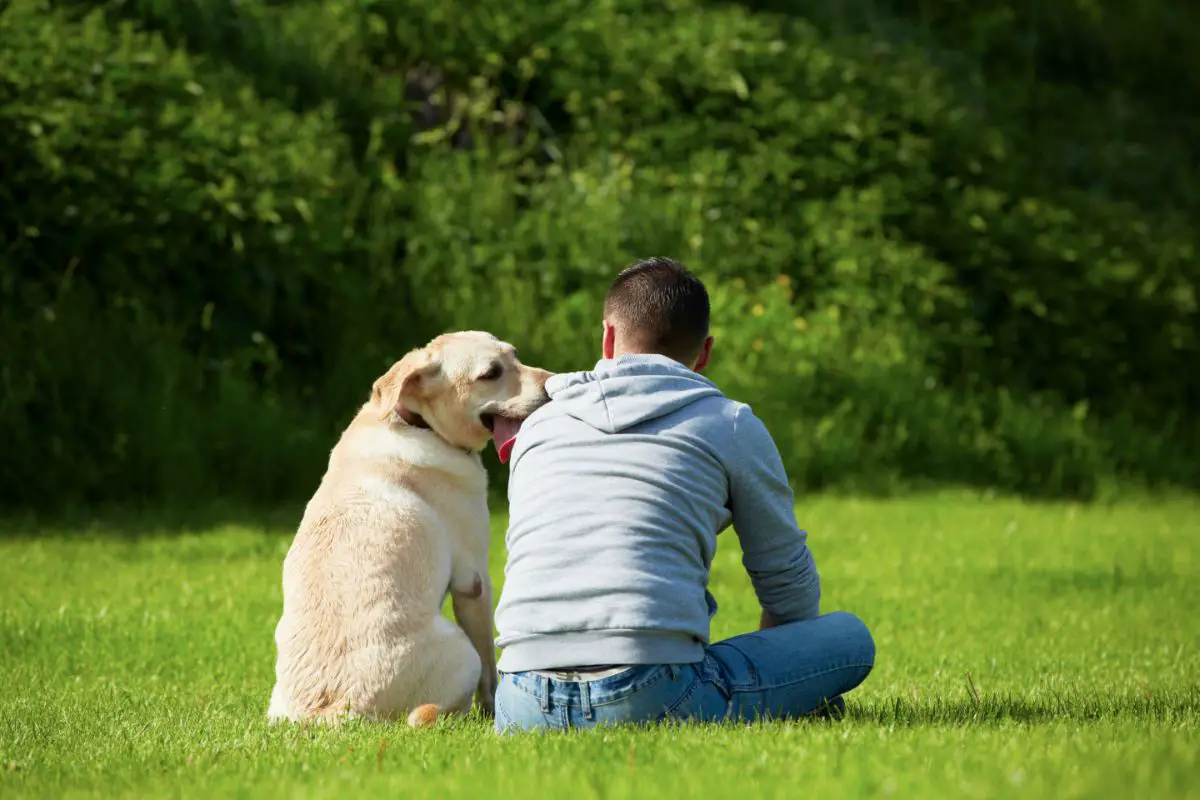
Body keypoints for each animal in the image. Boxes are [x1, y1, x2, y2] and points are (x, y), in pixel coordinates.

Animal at [268, 328, 552, 729]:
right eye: (491, 373)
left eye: (515, 356)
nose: (555, 383)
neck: (418, 423)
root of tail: (332, 711)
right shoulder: (474, 582)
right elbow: (490, 670)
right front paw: (494, 710)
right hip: (461, 650)